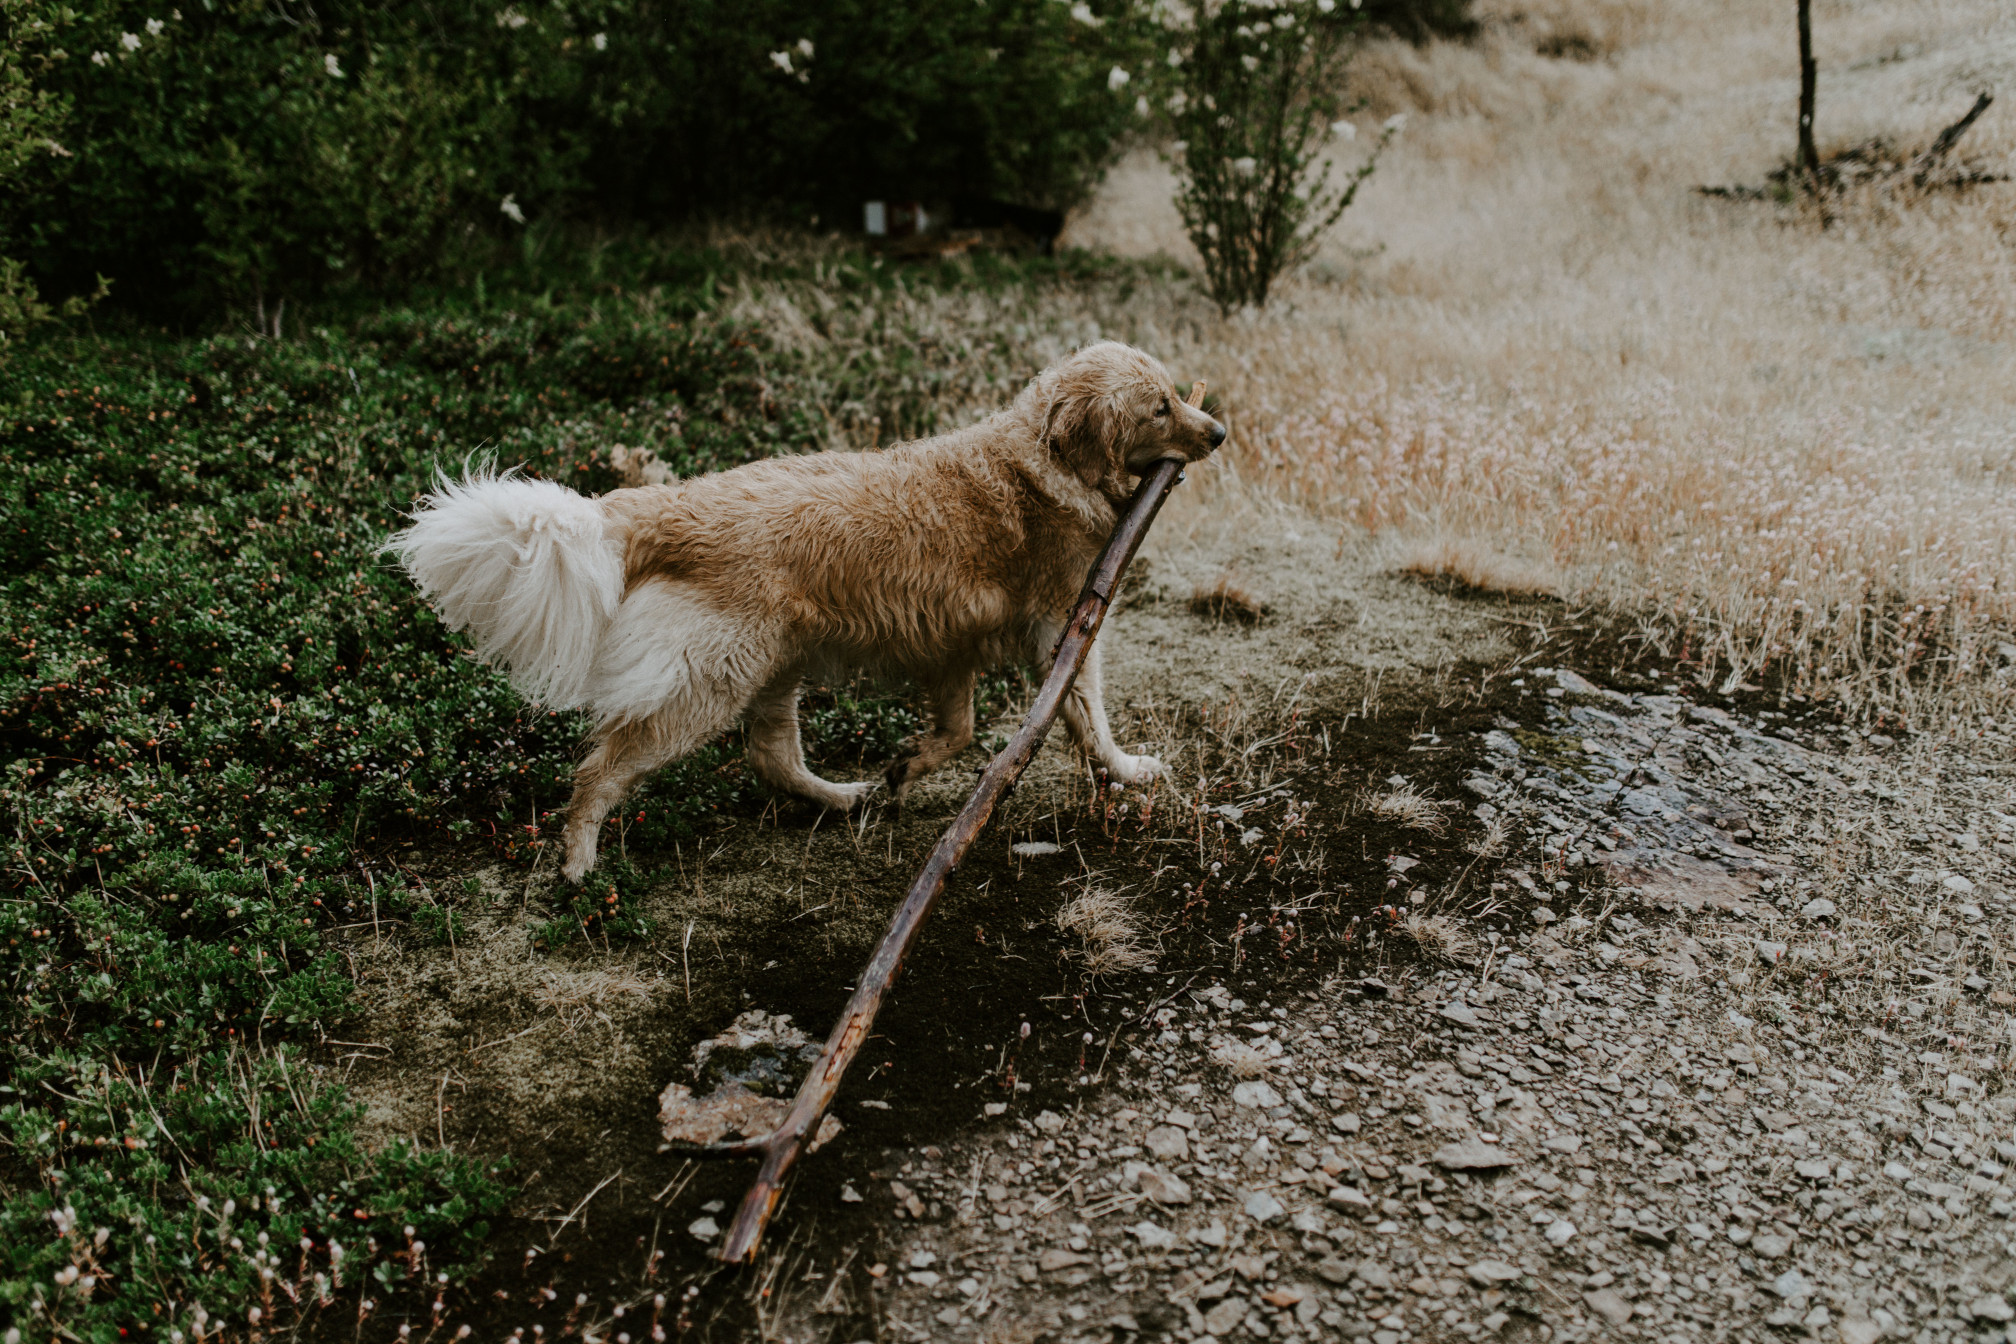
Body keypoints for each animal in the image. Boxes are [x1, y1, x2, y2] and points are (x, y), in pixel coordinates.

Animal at [383, 342, 1217, 878]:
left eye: (1178, 392)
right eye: (1159, 407)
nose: (1219, 431)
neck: (1042, 456)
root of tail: (660, 504)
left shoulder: (951, 646)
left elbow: (958, 729)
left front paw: (909, 764)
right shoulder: (1062, 630)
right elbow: (1087, 717)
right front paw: (1126, 769)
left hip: (773, 667)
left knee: (772, 756)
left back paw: (842, 798)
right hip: (706, 684)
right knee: (602, 770)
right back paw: (579, 863)